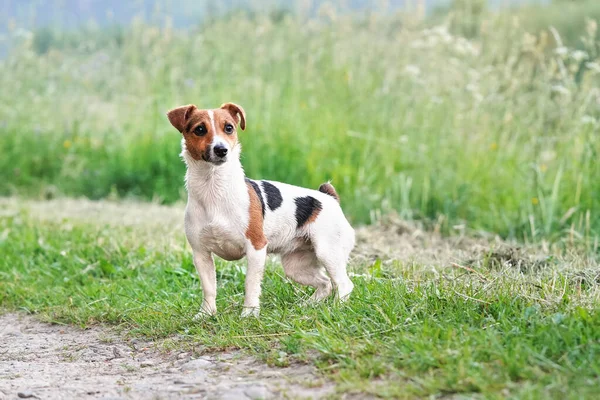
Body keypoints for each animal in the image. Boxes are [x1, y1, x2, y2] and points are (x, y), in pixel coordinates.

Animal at [166, 104, 354, 318]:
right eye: (199, 129)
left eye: (229, 128)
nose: (221, 150)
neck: (214, 188)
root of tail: (329, 197)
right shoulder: (200, 253)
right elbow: (209, 287)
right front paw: (206, 314)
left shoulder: (256, 248)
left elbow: (251, 284)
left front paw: (249, 313)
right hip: (295, 266)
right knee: (325, 284)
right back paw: (307, 305)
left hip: (328, 252)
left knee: (343, 284)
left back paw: (336, 309)